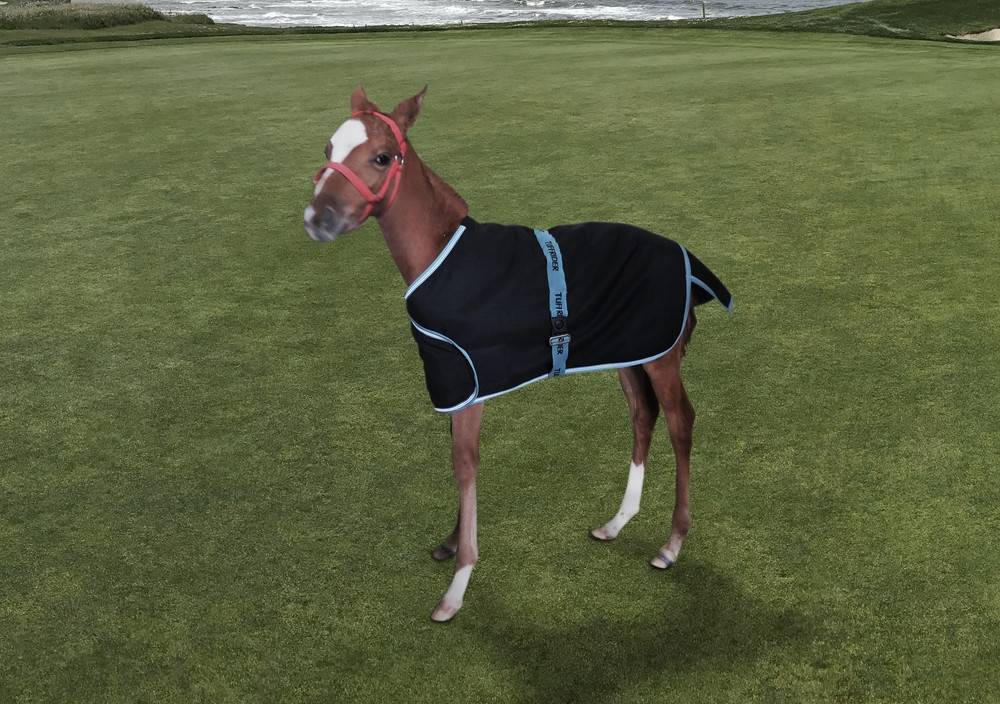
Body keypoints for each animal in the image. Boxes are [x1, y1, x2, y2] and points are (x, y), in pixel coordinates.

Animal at [304, 87, 732, 622]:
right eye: (328, 148)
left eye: (381, 157)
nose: (317, 218)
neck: (439, 253)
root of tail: (687, 257)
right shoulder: (455, 381)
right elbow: (458, 458)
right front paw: (451, 542)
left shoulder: (467, 384)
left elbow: (465, 464)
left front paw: (456, 586)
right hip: (631, 353)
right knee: (642, 415)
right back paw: (617, 522)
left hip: (662, 357)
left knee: (679, 421)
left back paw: (671, 544)